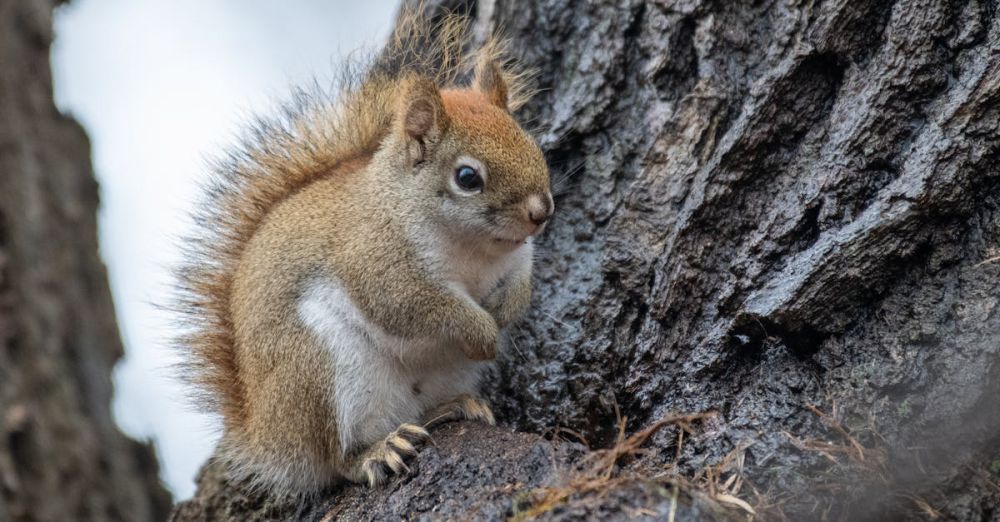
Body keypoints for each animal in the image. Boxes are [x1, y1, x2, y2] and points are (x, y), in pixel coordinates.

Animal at [168, 8, 552, 496]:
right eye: (468, 177)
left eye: (529, 141)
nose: (542, 211)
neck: (476, 252)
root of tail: (270, 434)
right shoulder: (377, 261)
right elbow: (419, 306)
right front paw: (483, 331)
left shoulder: (519, 258)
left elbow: (522, 284)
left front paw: (507, 311)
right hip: (319, 371)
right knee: (336, 459)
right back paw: (377, 453)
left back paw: (452, 407)